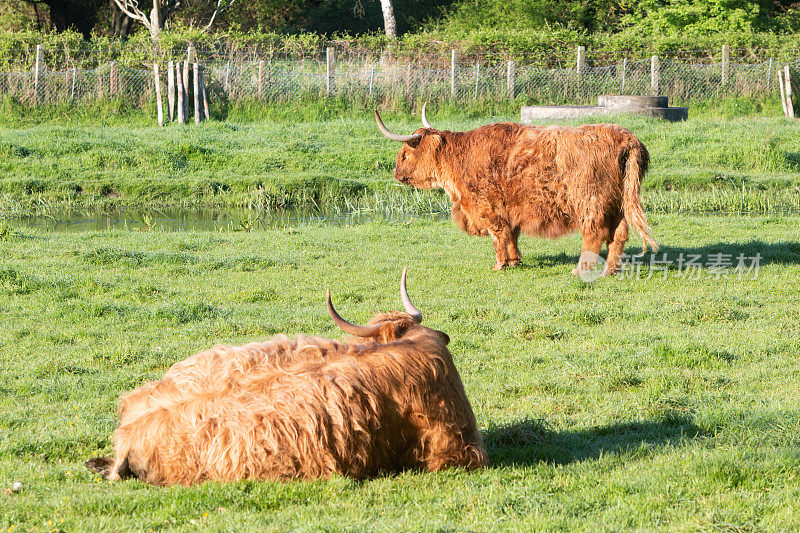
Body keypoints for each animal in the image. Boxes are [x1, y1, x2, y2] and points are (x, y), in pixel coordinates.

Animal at [376, 106, 656, 276]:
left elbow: (498, 236)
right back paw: (610, 269)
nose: (396, 173)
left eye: (405, 153)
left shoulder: (487, 207)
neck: (460, 158)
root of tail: (628, 139)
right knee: (619, 235)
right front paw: (514, 260)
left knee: (594, 234)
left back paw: (581, 269)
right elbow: (511, 236)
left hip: (591, 201)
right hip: (618, 203)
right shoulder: (509, 211)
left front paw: (500, 264)